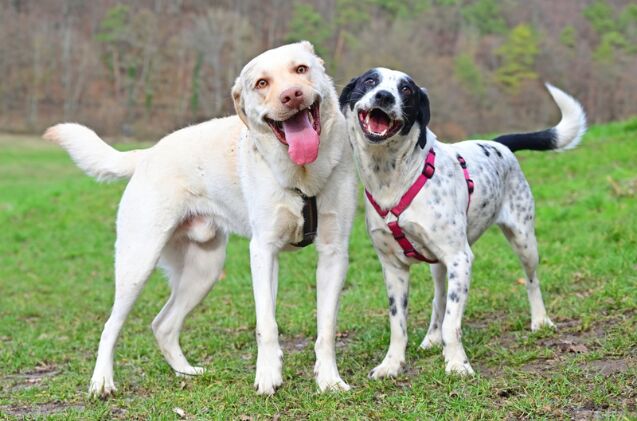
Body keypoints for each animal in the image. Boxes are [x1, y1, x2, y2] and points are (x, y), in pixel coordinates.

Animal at [44, 41, 352, 398]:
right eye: (261, 83)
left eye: (301, 69)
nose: (292, 95)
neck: (302, 179)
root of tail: (147, 153)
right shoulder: (263, 251)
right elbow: (267, 324)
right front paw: (267, 376)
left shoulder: (333, 253)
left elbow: (326, 328)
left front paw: (329, 380)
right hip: (137, 264)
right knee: (110, 326)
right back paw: (102, 382)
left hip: (204, 270)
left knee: (162, 325)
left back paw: (187, 372)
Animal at [340, 69, 584, 378]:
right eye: (370, 81)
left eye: (406, 90)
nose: (384, 96)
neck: (393, 177)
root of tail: (499, 143)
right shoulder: (394, 268)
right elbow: (398, 325)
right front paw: (392, 364)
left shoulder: (460, 258)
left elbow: (451, 324)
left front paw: (456, 363)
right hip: (439, 265)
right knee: (439, 299)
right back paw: (431, 338)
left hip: (524, 241)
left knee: (531, 281)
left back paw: (540, 321)